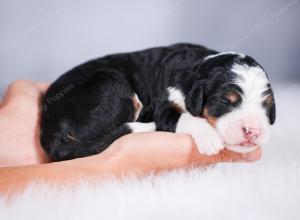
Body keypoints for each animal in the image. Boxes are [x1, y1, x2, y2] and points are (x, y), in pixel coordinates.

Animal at [40, 43, 276, 161]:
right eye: (225, 101)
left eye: (266, 104)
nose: (253, 131)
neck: (196, 66)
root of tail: (50, 132)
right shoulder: (163, 107)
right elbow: (183, 117)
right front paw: (209, 138)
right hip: (112, 82)